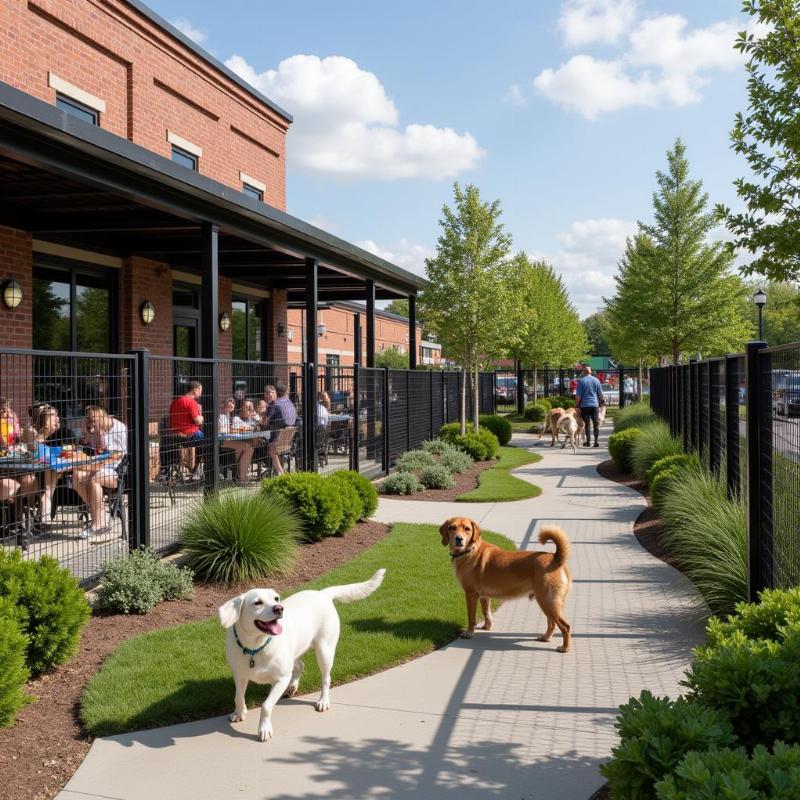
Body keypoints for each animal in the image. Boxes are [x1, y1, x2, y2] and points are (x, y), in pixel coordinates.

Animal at [216, 564, 384, 740]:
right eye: (258, 602)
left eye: (276, 598)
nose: (279, 608)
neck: (255, 646)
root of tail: (323, 594)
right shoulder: (239, 674)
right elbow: (238, 696)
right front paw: (239, 713)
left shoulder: (281, 679)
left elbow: (266, 705)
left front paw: (264, 729)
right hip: (295, 652)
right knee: (300, 665)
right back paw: (293, 686)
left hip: (324, 650)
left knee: (326, 678)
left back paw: (323, 700)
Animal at [440, 520, 572, 648]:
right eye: (452, 528)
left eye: (467, 529)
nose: (459, 539)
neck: (469, 550)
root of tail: (555, 558)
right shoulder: (484, 596)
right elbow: (487, 613)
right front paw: (487, 626)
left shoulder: (471, 594)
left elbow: (471, 617)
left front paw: (469, 633)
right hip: (548, 603)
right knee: (552, 623)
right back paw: (546, 638)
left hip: (547, 602)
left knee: (565, 626)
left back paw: (564, 648)